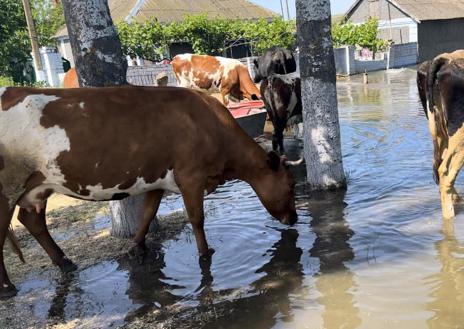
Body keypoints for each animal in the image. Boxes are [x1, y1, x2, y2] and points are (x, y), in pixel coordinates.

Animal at [0, 84, 298, 298]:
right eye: (291, 184)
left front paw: (136, 247)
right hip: (7, 190)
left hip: (38, 186)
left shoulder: (157, 182)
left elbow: (147, 214)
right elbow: (197, 219)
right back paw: (7, 288)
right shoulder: (190, 176)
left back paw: (65, 263)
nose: (294, 219)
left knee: (32, 220)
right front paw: (205, 254)